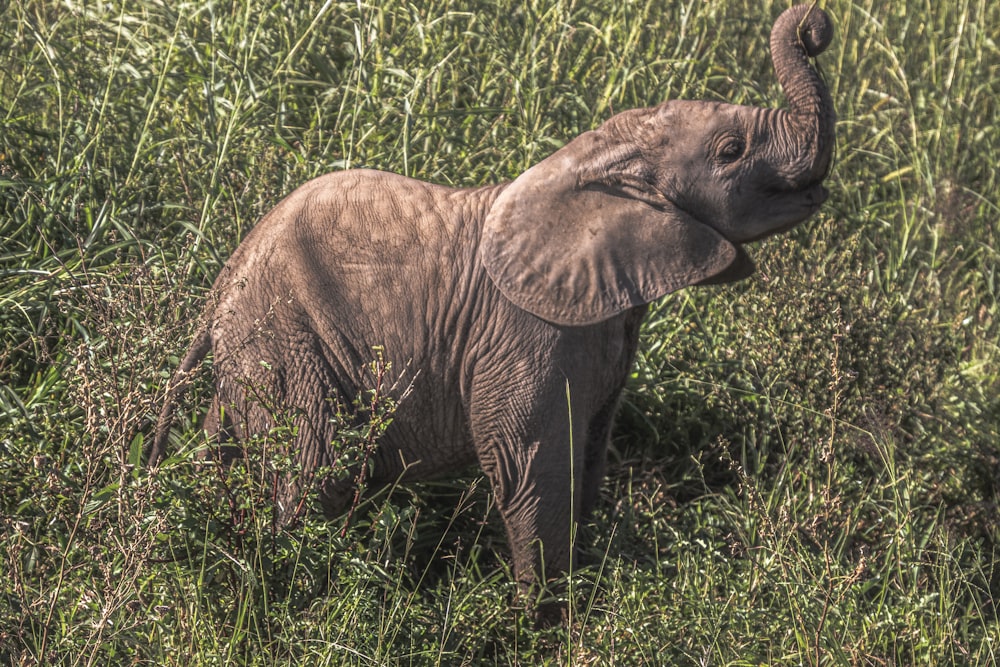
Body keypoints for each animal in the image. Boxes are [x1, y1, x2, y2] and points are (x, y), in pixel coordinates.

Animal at [148, 3, 836, 620]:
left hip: (254, 358)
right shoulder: (529, 332)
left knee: (227, 448)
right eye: (731, 150)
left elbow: (589, 456)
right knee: (312, 473)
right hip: (286, 344)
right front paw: (541, 623)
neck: (598, 156)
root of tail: (222, 286)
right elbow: (529, 464)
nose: (815, 26)